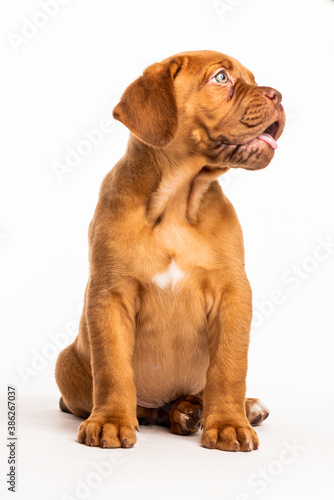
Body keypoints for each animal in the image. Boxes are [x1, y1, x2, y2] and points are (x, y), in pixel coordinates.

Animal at [54, 50, 284, 454]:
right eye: (221, 78)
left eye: (254, 79)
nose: (279, 95)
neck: (177, 201)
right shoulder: (109, 295)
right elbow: (112, 367)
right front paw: (111, 420)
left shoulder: (233, 293)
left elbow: (229, 366)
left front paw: (228, 423)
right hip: (66, 362)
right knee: (141, 406)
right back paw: (178, 413)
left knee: (201, 390)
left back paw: (228, 408)